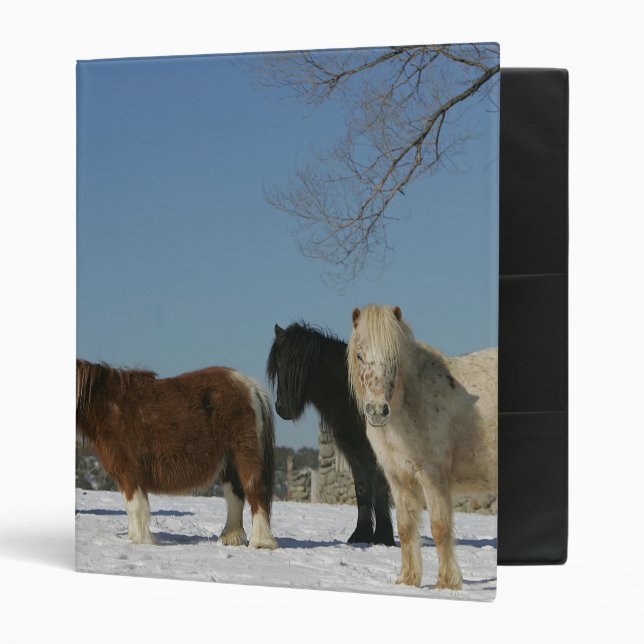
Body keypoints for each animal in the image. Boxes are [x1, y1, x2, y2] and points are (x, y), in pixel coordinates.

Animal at [76, 359, 278, 549]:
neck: (110, 406)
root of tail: (250, 385)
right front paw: (134, 539)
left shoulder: (129, 471)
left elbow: (135, 507)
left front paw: (141, 541)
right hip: (229, 463)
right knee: (235, 496)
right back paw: (230, 539)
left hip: (245, 456)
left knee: (255, 492)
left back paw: (261, 543)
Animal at [267, 323, 395, 546]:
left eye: (284, 363)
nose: (281, 408)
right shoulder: (353, 449)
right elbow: (362, 487)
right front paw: (361, 535)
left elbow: (378, 485)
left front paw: (383, 537)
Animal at [347, 305, 497, 589]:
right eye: (360, 355)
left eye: (394, 356)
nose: (377, 411)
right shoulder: (397, 478)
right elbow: (405, 528)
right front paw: (407, 580)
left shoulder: (432, 474)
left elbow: (440, 527)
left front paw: (446, 583)